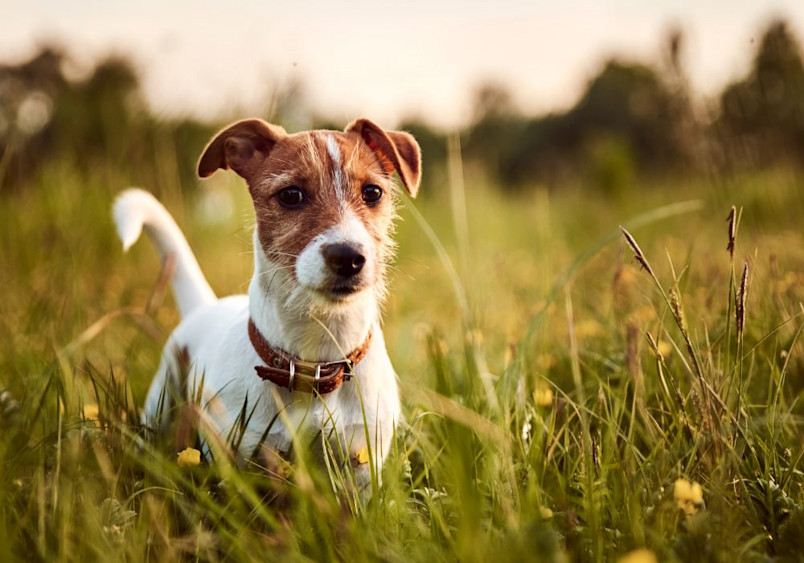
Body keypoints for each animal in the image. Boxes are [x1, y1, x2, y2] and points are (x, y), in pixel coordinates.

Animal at [115, 118, 424, 490]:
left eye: (373, 193)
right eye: (291, 195)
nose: (348, 256)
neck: (316, 361)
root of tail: (206, 305)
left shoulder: (363, 463)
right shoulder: (242, 457)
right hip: (161, 401)